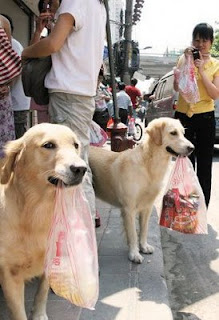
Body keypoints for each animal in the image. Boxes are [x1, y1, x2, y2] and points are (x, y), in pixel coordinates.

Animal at [0, 123, 87, 320]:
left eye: (75, 145)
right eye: (48, 145)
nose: (81, 169)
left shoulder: (51, 256)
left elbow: (42, 292)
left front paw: (39, 314)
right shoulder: (10, 272)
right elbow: (18, 312)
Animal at [88, 117, 194, 262]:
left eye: (183, 133)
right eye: (173, 133)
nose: (192, 148)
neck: (149, 164)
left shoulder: (147, 207)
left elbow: (144, 230)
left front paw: (144, 247)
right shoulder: (128, 208)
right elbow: (133, 234)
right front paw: (134, 253)